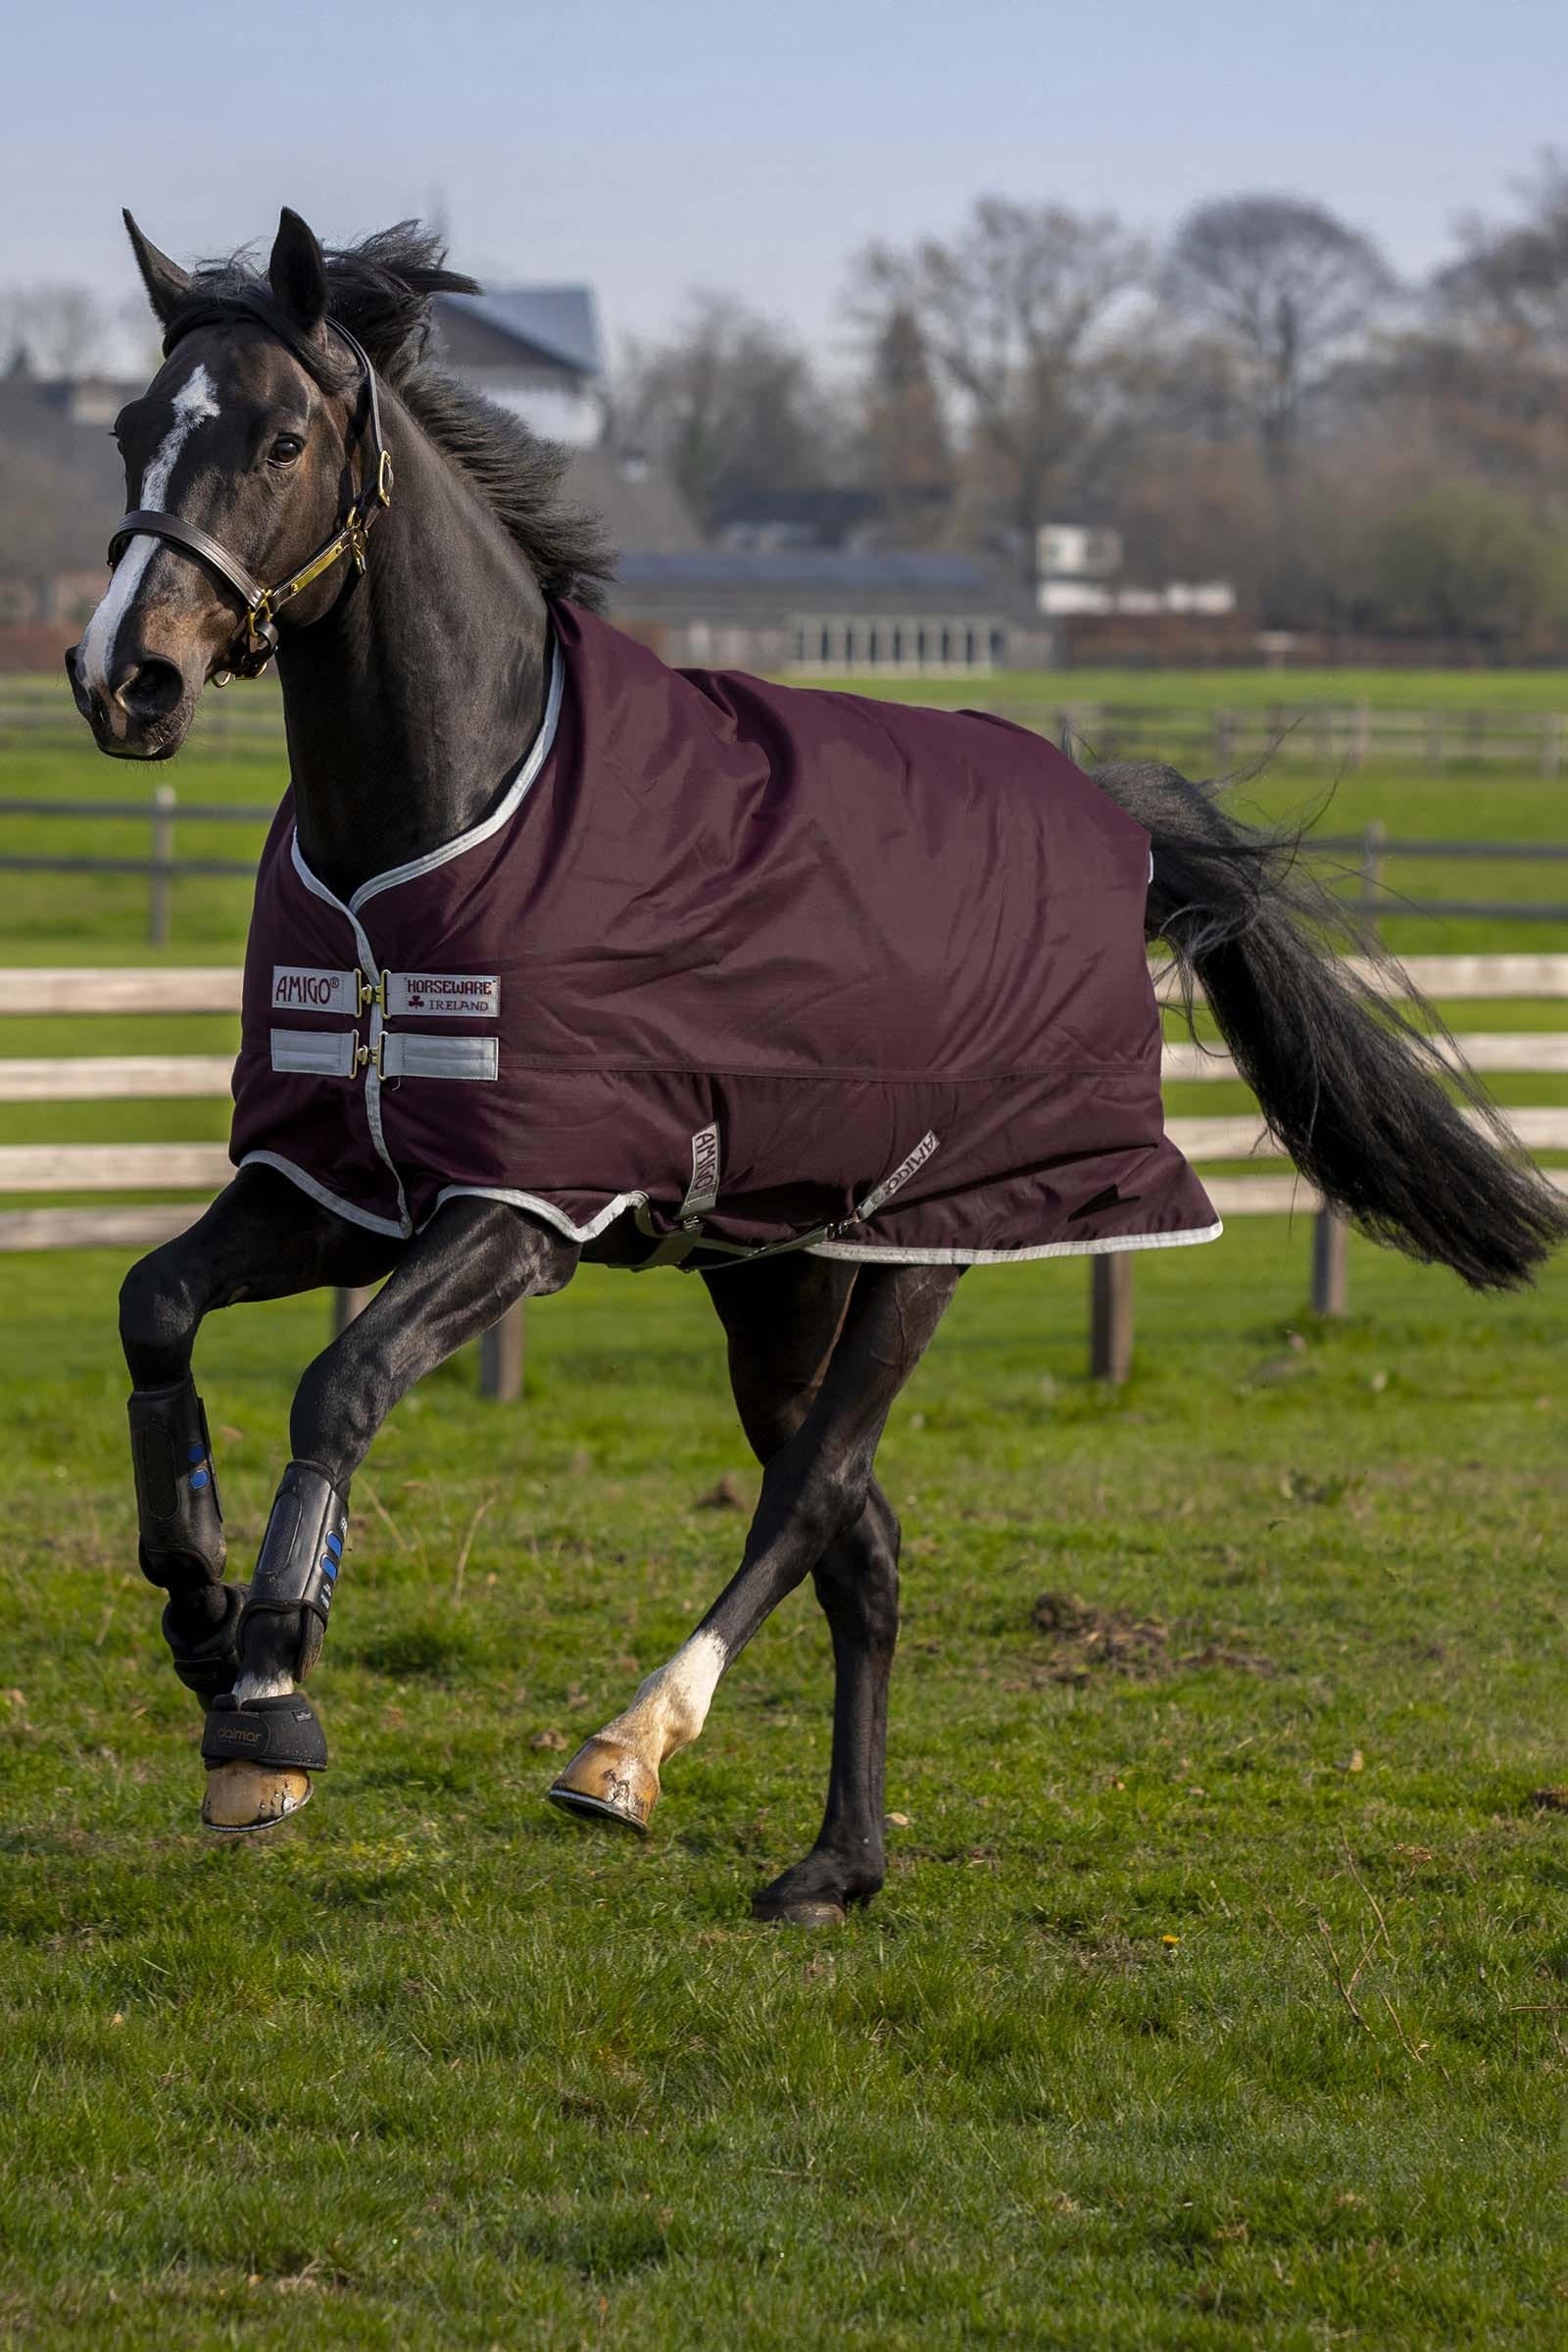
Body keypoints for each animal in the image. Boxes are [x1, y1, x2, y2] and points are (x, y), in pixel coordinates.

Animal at [69, 208, 1566, 1926]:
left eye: (282, 438)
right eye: (131, 425)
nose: (124, 679)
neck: (438, 834)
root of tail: (1107, 817)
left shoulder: (527, 1206)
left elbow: (344, 1382)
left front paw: (269, 1704)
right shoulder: (340, 1182)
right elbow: (157, 1306)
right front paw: (197, 1624)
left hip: (928, 1249)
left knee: (810, 1499)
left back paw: (629, 1752)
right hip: (781, 1277)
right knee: (868, 1537)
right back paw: (837, 1861)